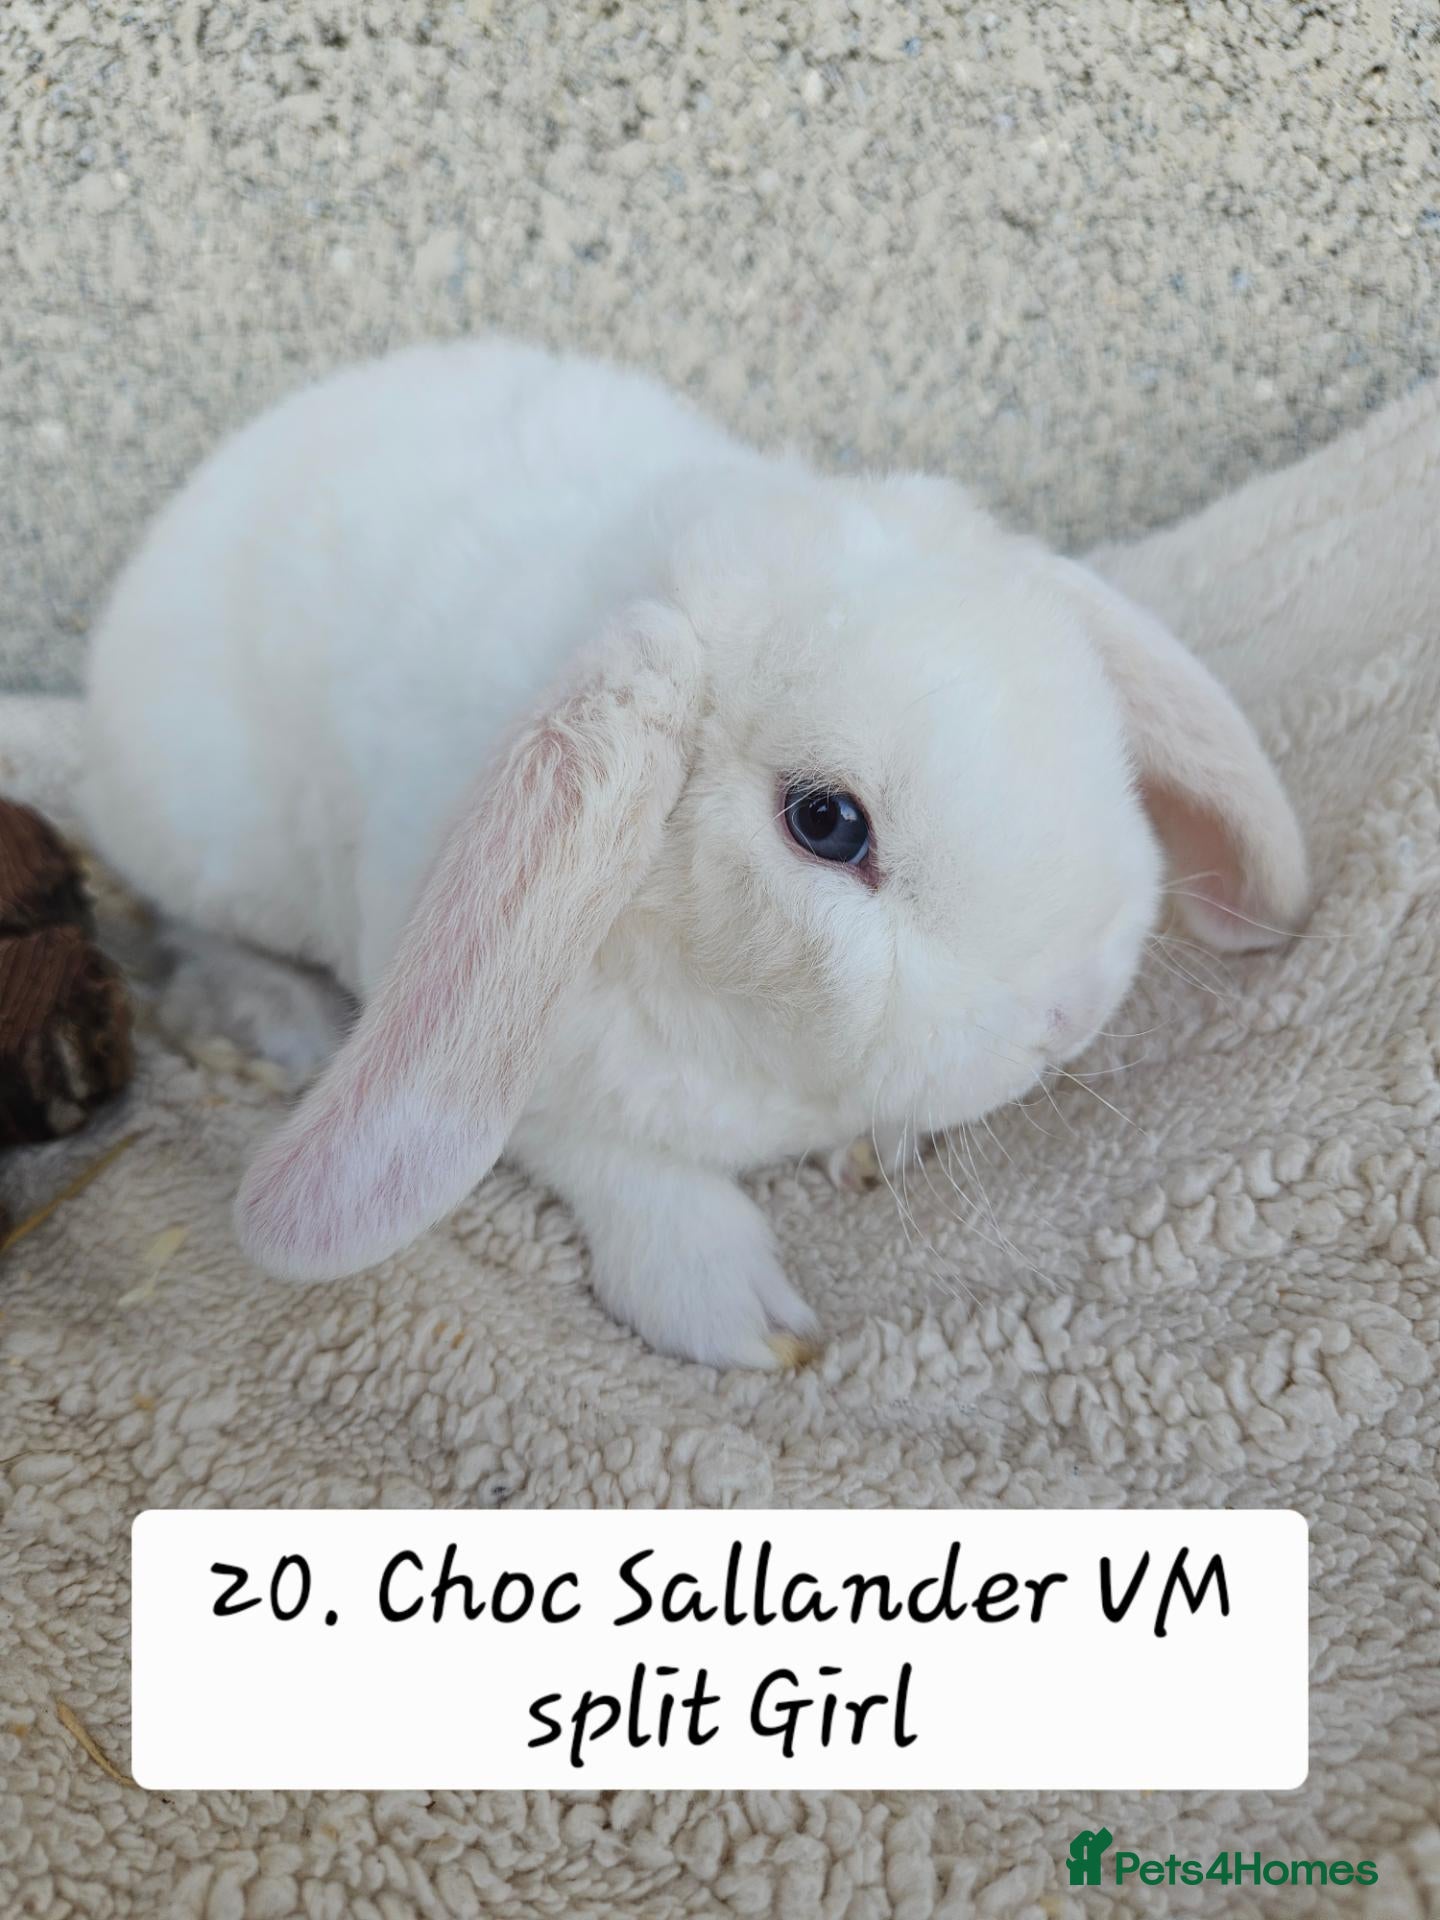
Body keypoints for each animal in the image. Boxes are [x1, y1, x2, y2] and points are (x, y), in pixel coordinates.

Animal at [80, 337, 1309, 1368]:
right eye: (826, 823)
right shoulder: (522, 1073)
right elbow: (624, 1170)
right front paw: (741, 1317)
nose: (1072, 1013)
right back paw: (275, 1024)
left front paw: (882, 1149)